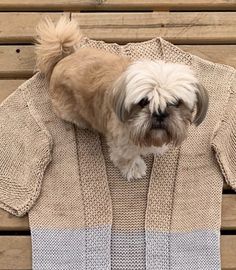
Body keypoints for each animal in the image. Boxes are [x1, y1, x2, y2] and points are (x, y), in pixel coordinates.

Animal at [35, 17, 208, 180]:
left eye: (176, 102)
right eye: (143, 102)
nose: (160, 114)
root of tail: (63, 59)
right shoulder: (122, 144)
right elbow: (127, 157)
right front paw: (134, 168)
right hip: (70, 111)